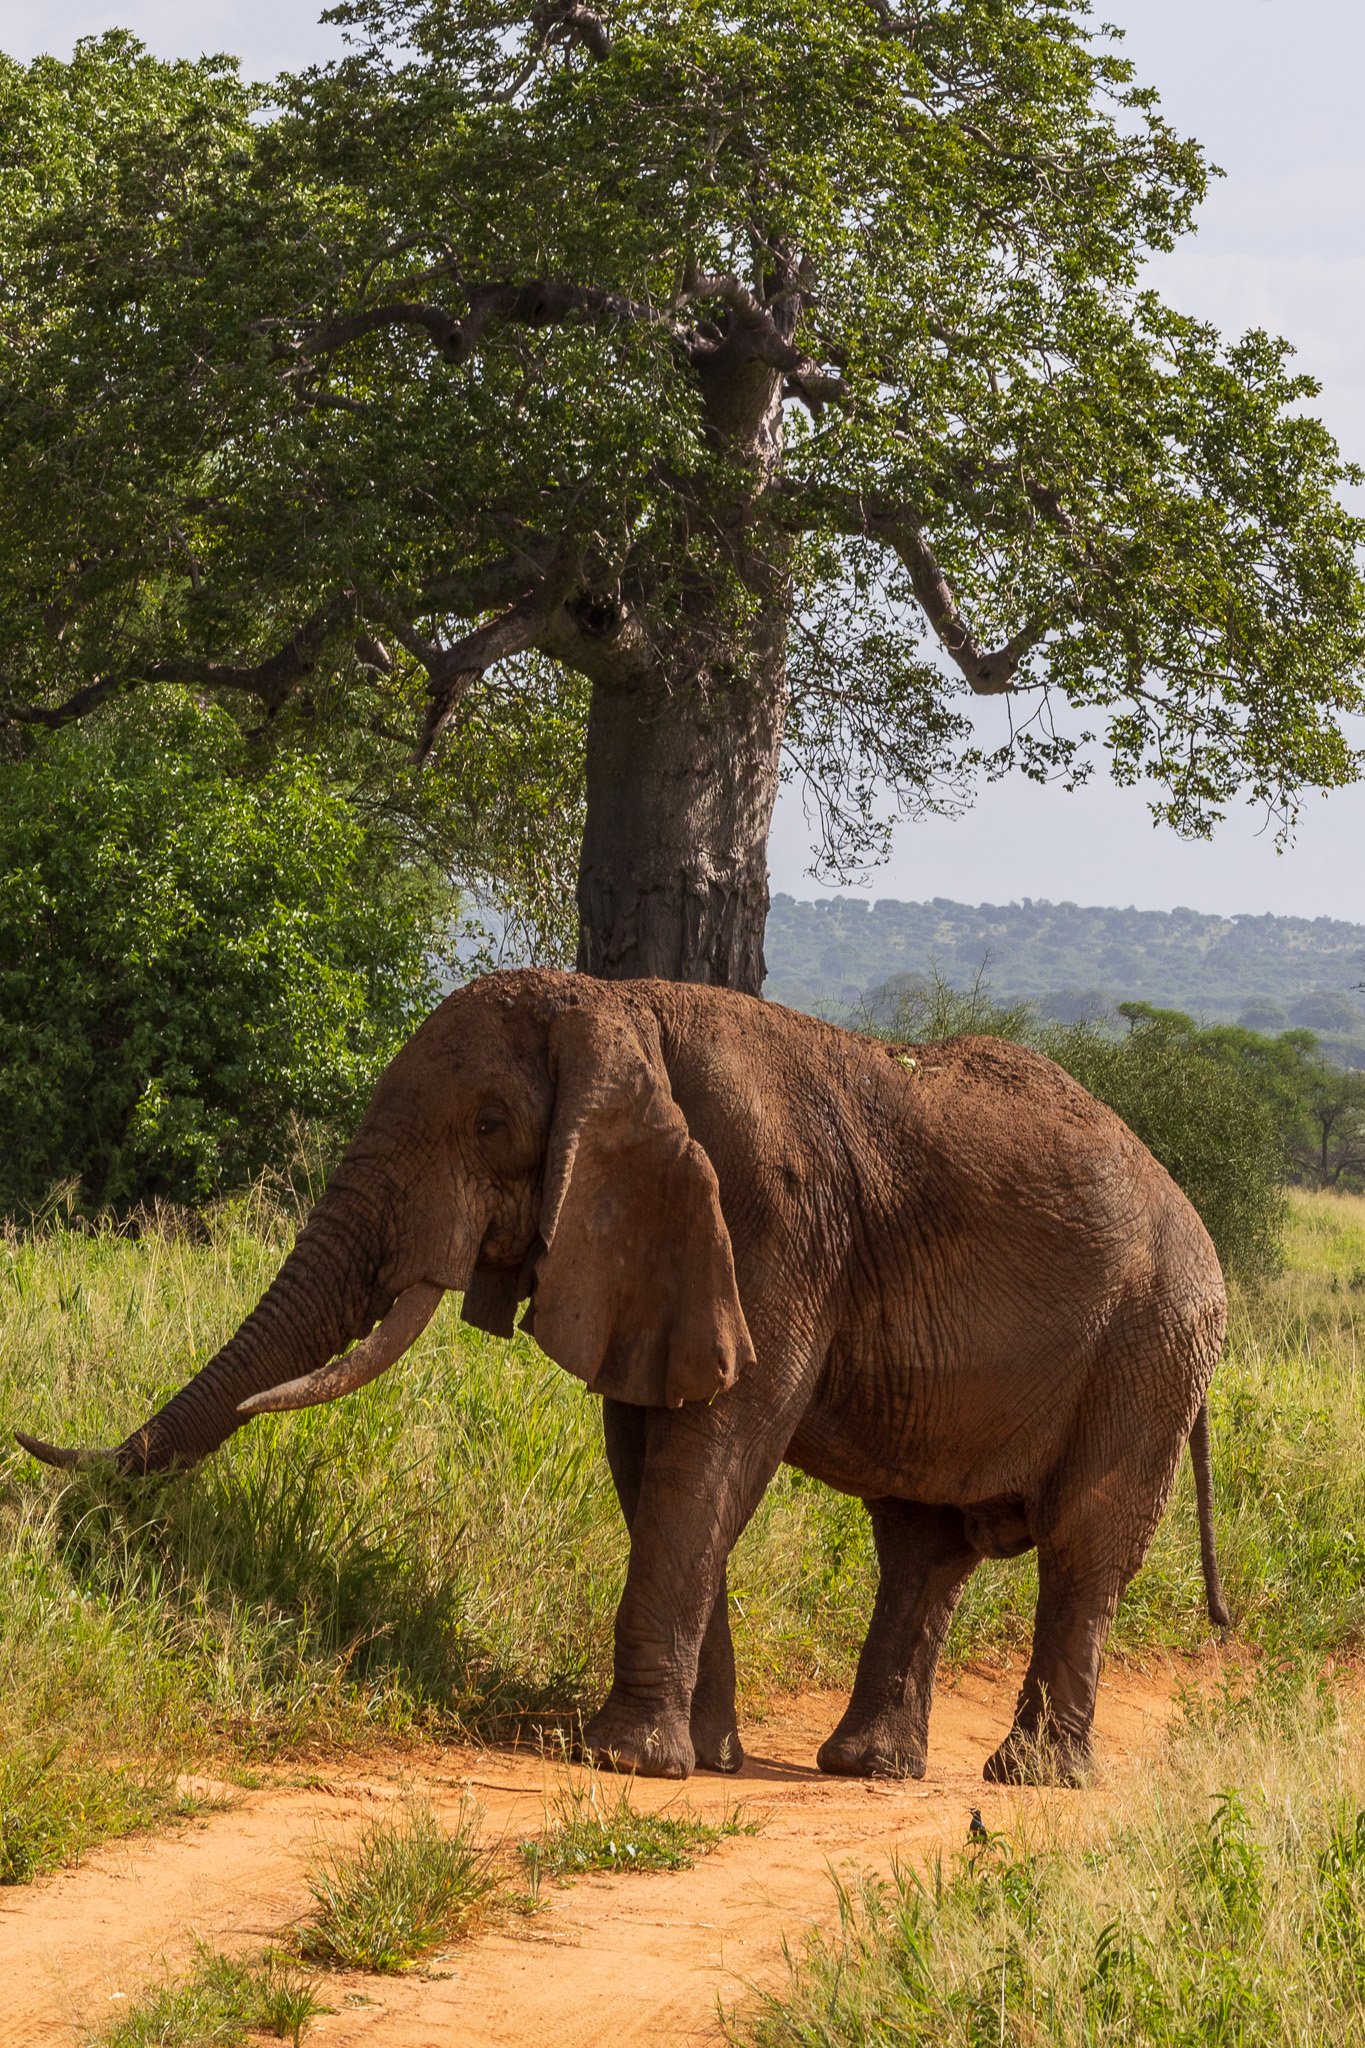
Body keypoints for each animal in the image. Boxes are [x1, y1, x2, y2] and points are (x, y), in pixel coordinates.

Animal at [18, 966, 1236, 1785]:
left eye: (493, 1124)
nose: (36, 1462)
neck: (617, 1007)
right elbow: (646, 1451)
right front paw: (698, 1755)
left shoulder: (768, 1224)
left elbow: (717, 1448)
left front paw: (622, 1761)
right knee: (921, 1544)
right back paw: (865, 1768)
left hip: (1150, 1350)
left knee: (1081, 1546)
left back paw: (1025, 1781)